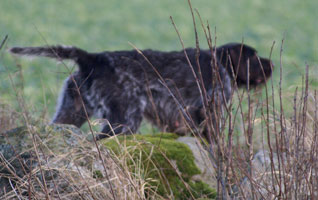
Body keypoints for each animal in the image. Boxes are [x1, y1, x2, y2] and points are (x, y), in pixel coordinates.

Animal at [9, 42, 274, 139]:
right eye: (254, 56)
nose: (271, 65)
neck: (220, 63)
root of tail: (93, 59)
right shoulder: (209, 111)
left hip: (71, 112)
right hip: (125, 119)